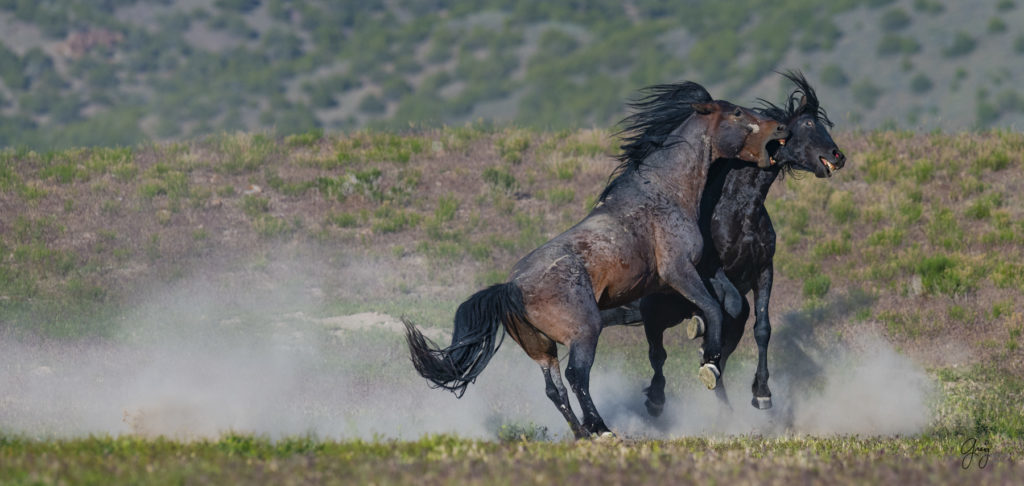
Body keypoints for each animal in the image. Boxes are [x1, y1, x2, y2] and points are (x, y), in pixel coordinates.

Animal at [403, 81, 786, 439]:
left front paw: (707, 343)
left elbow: (728, 302)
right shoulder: (678, 271)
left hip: (541, 348)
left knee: (554, 389)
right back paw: (601, 429)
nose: (780, 127)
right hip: (585, 331)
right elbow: (712, 309)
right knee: (577, 376)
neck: (665, 191)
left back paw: (582, 433)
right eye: (736, 112)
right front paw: (710, 363)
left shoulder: (697, 271)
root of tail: (510, 289)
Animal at [602, 70, 843, 417]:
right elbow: (732, 302)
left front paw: (762, 394)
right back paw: (658, 396)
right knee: (657, 353)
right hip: (658, 312)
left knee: (720, 355)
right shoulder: (709, 271)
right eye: (809, 125)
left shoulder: (764, 270)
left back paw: (723, 402)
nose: (839, 156)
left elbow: (761, 328)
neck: (739, 209)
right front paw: (703, 332)